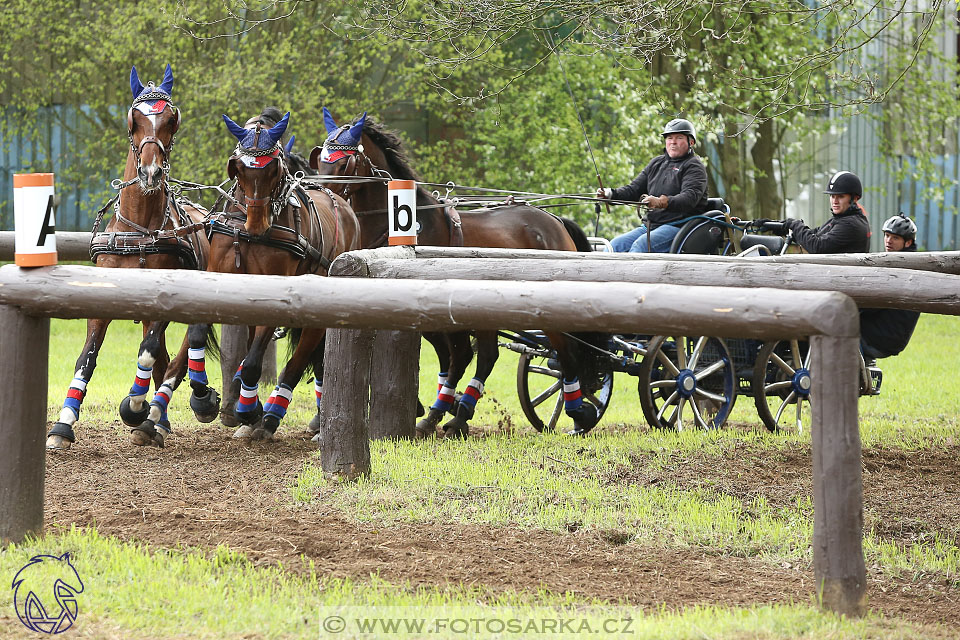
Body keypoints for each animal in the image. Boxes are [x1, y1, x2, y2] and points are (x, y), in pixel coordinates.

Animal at [46, 62, 210, 448]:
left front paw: (135, 405)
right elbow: (87, 358)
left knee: (177, 359)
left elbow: (146, 352)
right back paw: (157, 419)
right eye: (133, 120)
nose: (150, 172)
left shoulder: (166, 300)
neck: (139, 232)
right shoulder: (103, 300)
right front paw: (63, 424)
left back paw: (156, 417)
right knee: (164, 358)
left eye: (171, 120)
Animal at [129, 109, 362, 444]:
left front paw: (249, 410)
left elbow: (254, 362)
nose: (256, 223)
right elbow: (197, 336)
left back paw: (268, 417)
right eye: (238, 166)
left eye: (274, 168)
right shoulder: (219, 279)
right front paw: (202, 396)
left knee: (299, 359)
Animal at [312, 111, 604, 440]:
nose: (324, 194)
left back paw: (576, 411)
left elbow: (457, 357)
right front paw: (434, 409)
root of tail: (554, 220)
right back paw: (461, 411)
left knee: (565, 353)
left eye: (344, 163)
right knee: (489, 356)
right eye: (320, 160)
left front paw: (434, 410)